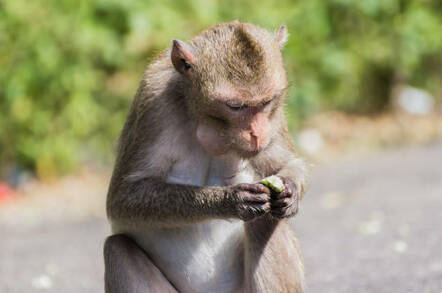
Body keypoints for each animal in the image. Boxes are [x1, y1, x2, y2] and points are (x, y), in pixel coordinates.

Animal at [105, 21, 308, 292]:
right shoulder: (152, 102)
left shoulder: (274, 118)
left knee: (266, 220)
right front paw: (230, 200)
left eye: (266, 102)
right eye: (235, 106)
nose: (257, 133)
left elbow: (287, 163)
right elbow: (122, 200)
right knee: (117, 247)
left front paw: (289, 191)